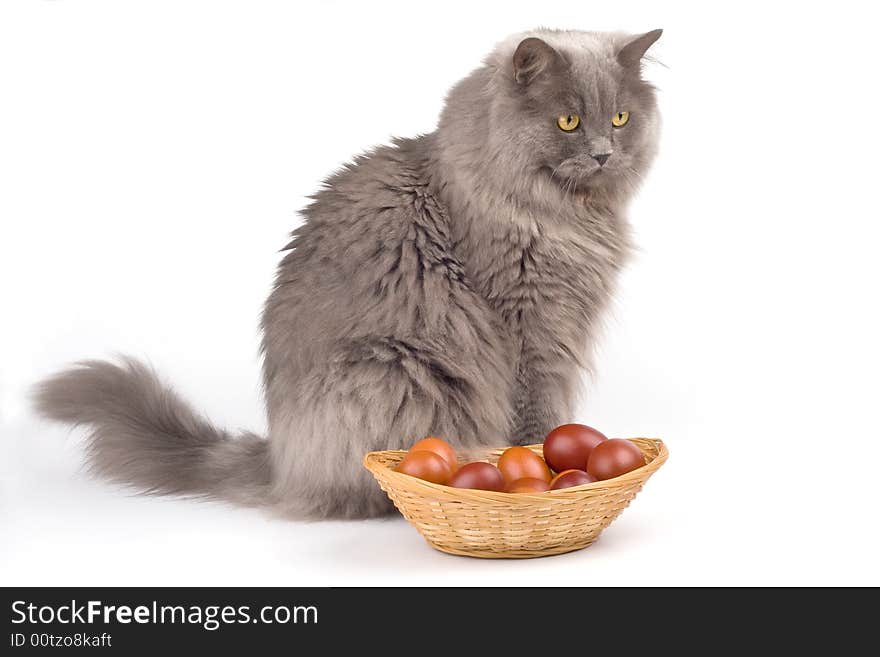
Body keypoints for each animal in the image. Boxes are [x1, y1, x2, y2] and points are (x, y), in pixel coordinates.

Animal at [32, 29, 660, 516]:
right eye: (569, 121)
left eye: (620, 118)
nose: (604, 153)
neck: (563, 216)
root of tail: (279, 459)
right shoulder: (529, 325)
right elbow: (538, 418)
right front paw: (543, 468)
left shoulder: (560, 326)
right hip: (398, 370)